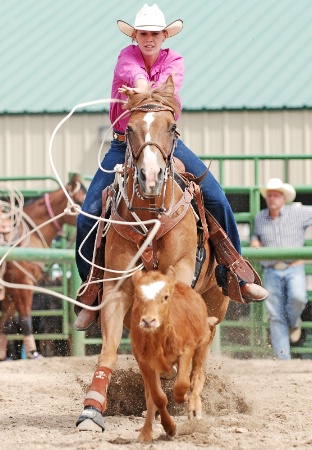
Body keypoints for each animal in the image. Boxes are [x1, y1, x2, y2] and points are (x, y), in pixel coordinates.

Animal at [0, 174, 86, 360]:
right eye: (79, 200)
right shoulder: (24, 284)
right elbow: (25, 319)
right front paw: (33, 352)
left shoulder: (11, 289)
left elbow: (5, 321)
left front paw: (2, 354)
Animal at [130, 266, 216, 442]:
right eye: (137, 296)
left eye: (165, 296)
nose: (148, 321)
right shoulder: (145, 363)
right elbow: (158, 397)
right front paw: (170, 428)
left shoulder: (186, 351)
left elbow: (182, 384)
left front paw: (181, 398)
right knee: (150, 397)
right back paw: (145, 433)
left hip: (202, 345)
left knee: (197, 376)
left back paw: (194, 408)